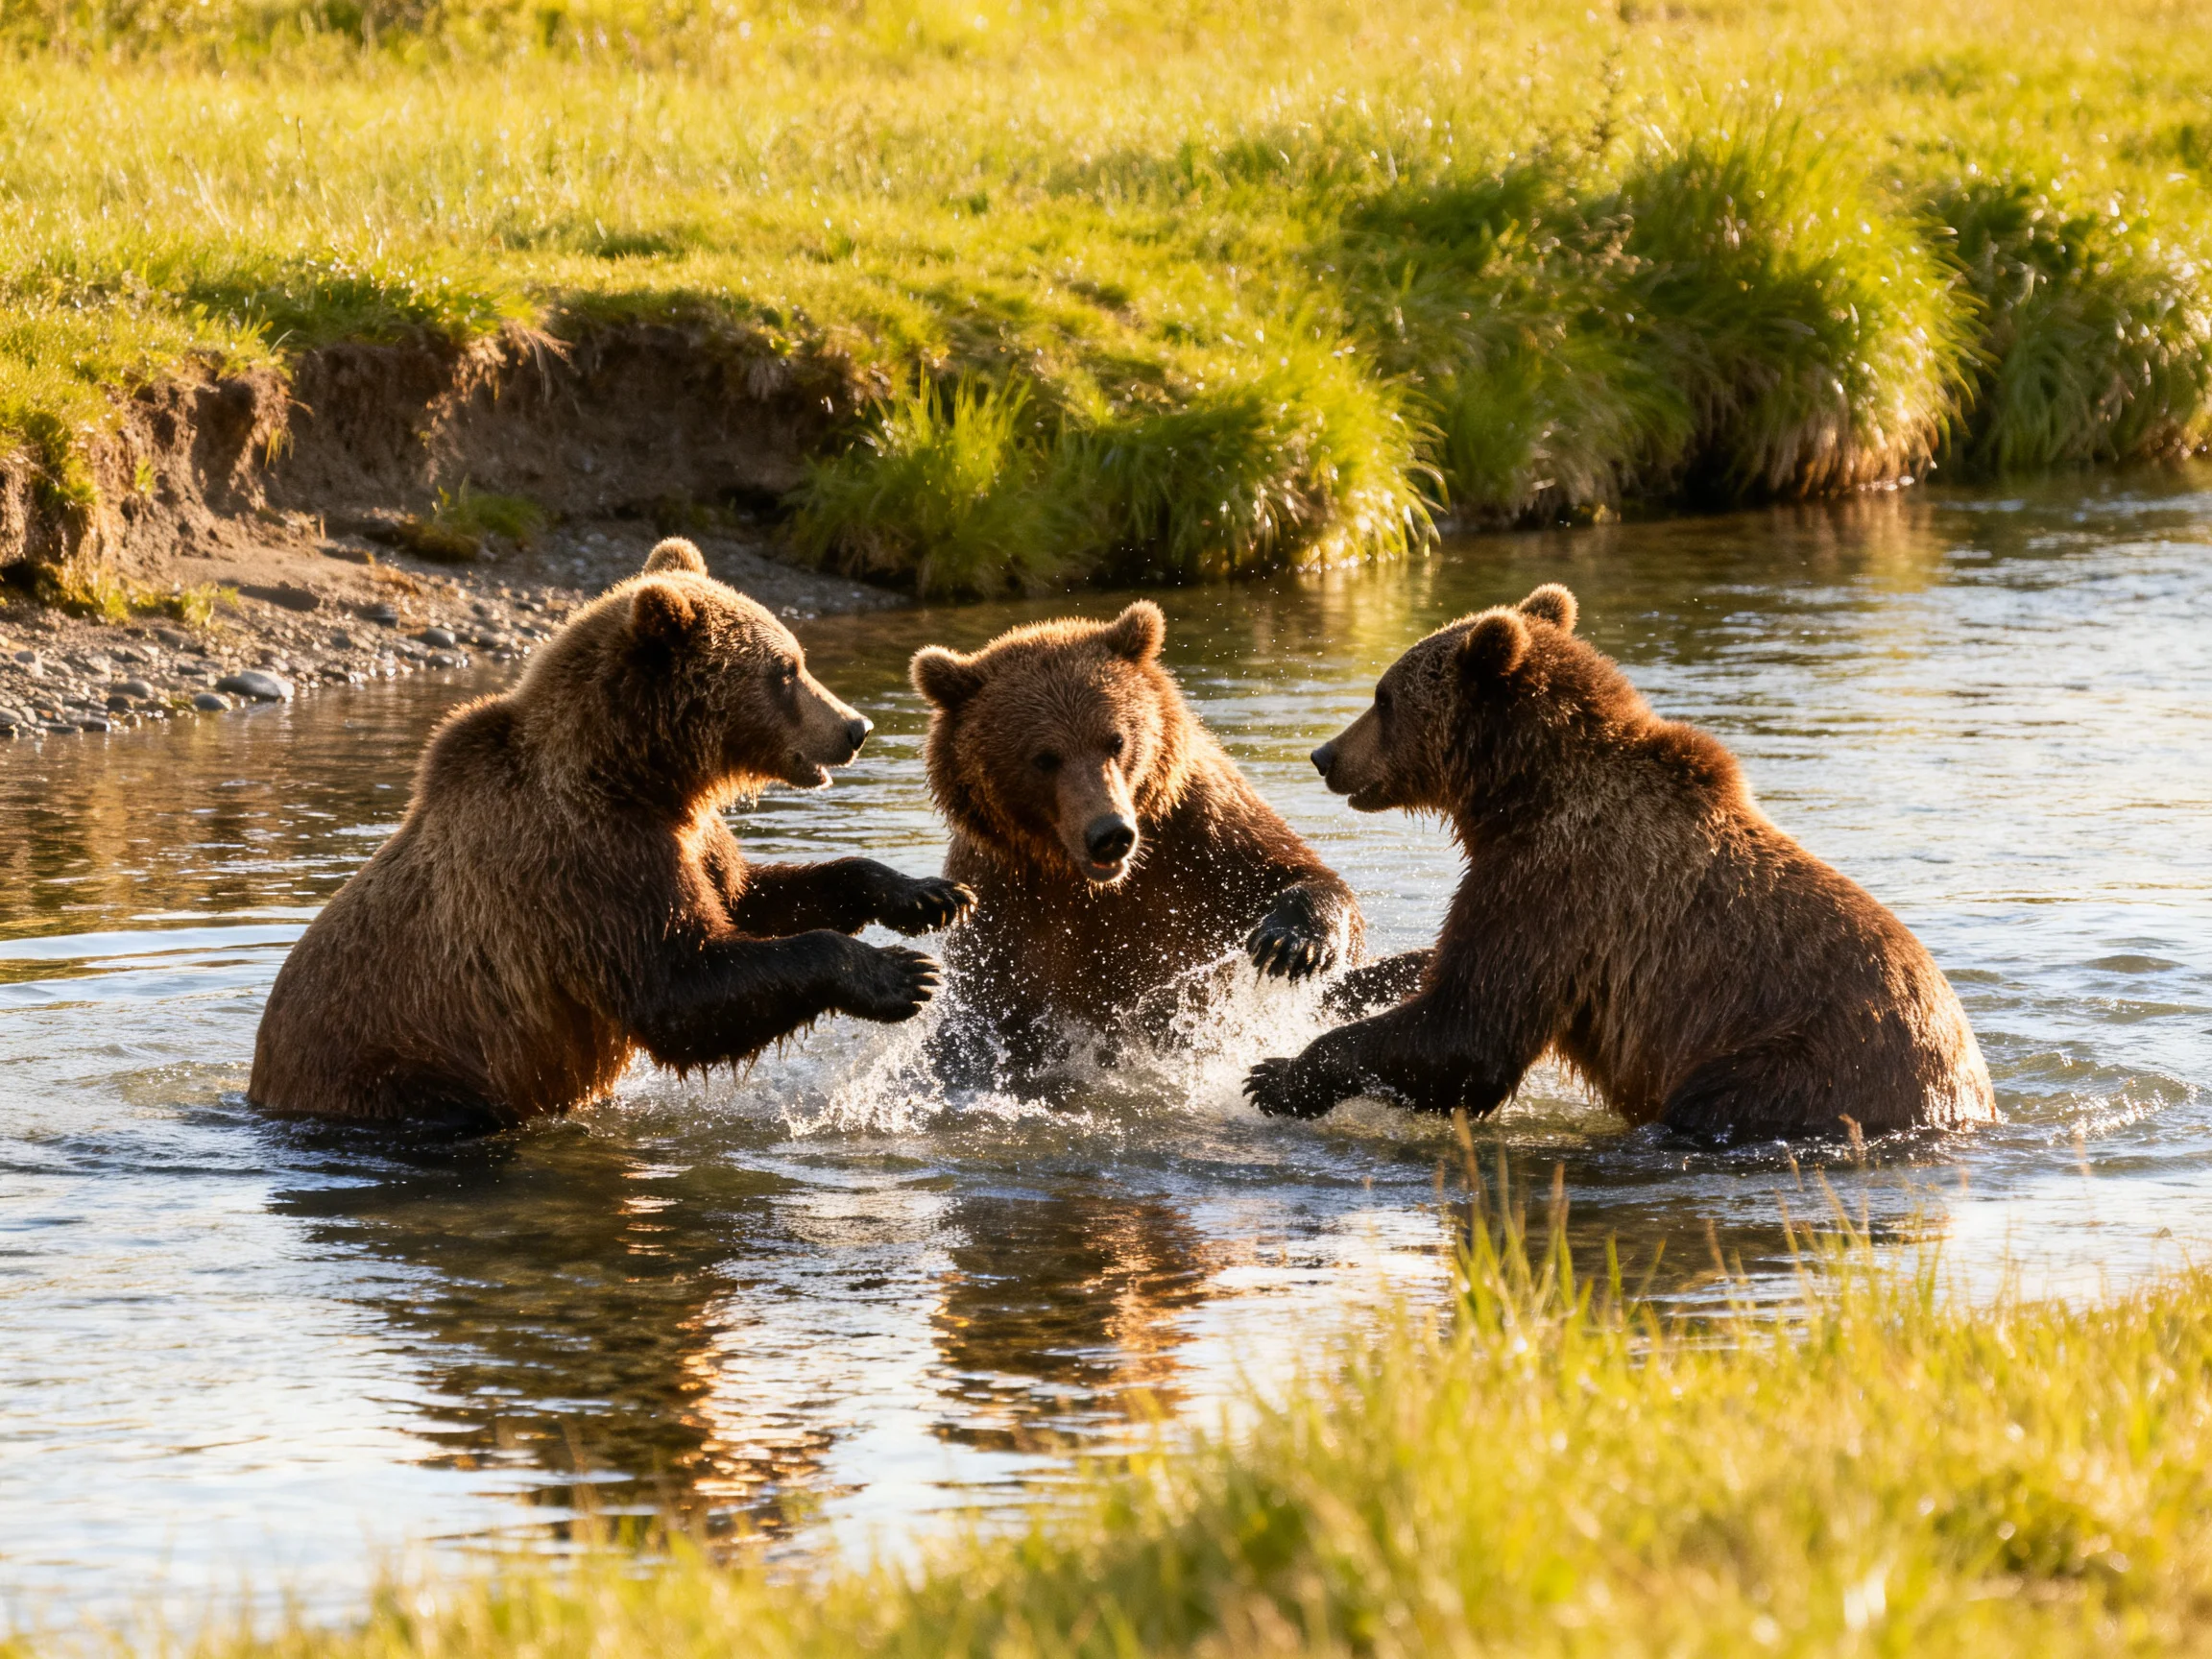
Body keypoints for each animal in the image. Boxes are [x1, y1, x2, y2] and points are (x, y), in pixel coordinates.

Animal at [249, 537, 973, 1132]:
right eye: (785, 670)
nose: (856, 727)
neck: (637, 775)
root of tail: (261, 1087)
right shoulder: (585, 861)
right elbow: (679, 983)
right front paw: (900, 974)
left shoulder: (688, 837)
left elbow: (750, 899)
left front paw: (927, 895)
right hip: (408, 1068)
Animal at [909, 600, 1374, 1085]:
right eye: (1044, 758)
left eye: (1116, 739)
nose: (1109, 834)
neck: (1087, 880)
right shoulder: (1003, 899)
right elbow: (984, 1013)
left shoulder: (1196, 835)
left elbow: (1293, 871)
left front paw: (1289, 942)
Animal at [1243, 582, 1996, 1140]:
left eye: (1384, 696)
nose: (1325, 756)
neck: (1522, 790)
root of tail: (1970, 1099)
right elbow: (1450, 972)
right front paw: (1344, 985)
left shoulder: (1565, 882)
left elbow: (1473, 1025)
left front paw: (1276, 1075)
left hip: (1797, 1064)